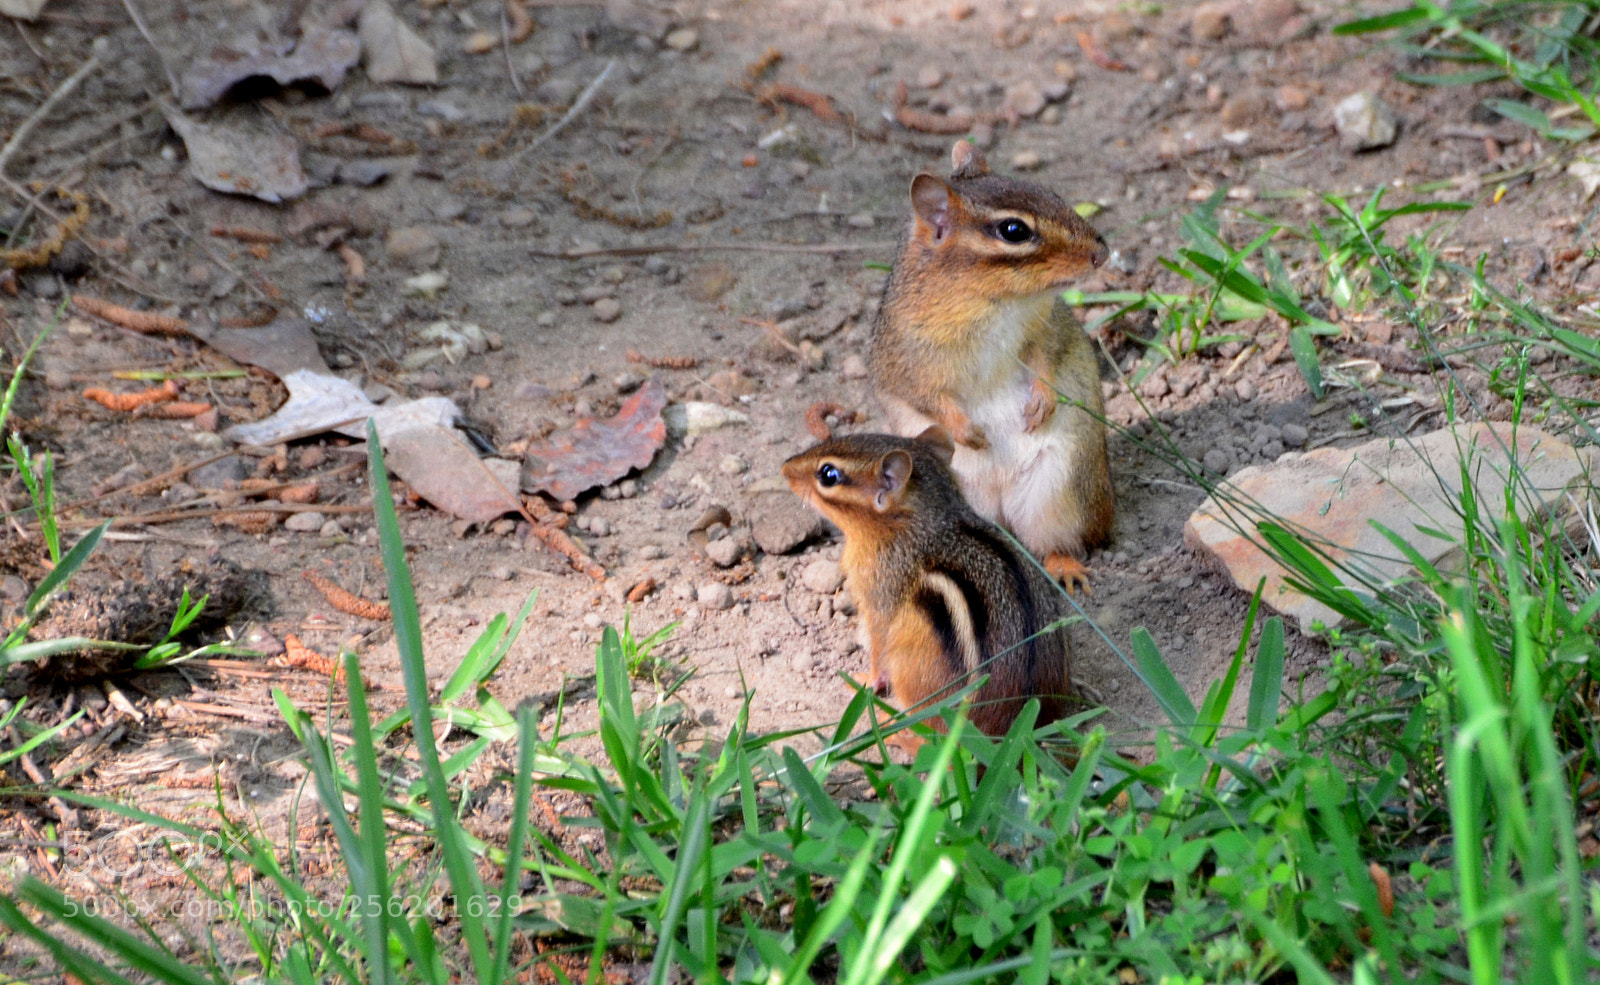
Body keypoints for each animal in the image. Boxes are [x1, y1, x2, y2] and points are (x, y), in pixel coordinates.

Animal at [782, 426, 1071, 741]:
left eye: (828, 474)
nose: (784, 467)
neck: (922, 525)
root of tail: (1008, 735)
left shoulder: (879, 600)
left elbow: (878, 651)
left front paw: (865, 682)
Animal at [868, 140, 1114, 591]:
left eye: (1051, 193)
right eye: (1014, 231)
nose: (1101, 253)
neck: (990, 302)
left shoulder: (1044, 330)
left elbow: (1046, 360)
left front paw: (1042, 403)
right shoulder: (907, 365)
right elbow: (927, 397)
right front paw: (967, 432)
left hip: (1059, 492)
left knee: (1052, 543)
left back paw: (1065, 569)